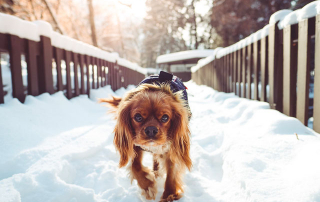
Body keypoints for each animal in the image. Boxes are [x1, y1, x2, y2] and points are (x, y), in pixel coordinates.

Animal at [101, 72, 191, 201]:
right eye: (138, 117)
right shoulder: (136, 146)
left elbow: (171, 174)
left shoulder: (172, 149)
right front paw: (148, 186)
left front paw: (169, 195)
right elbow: (135, 167)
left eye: (165, 118)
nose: (151, 129)